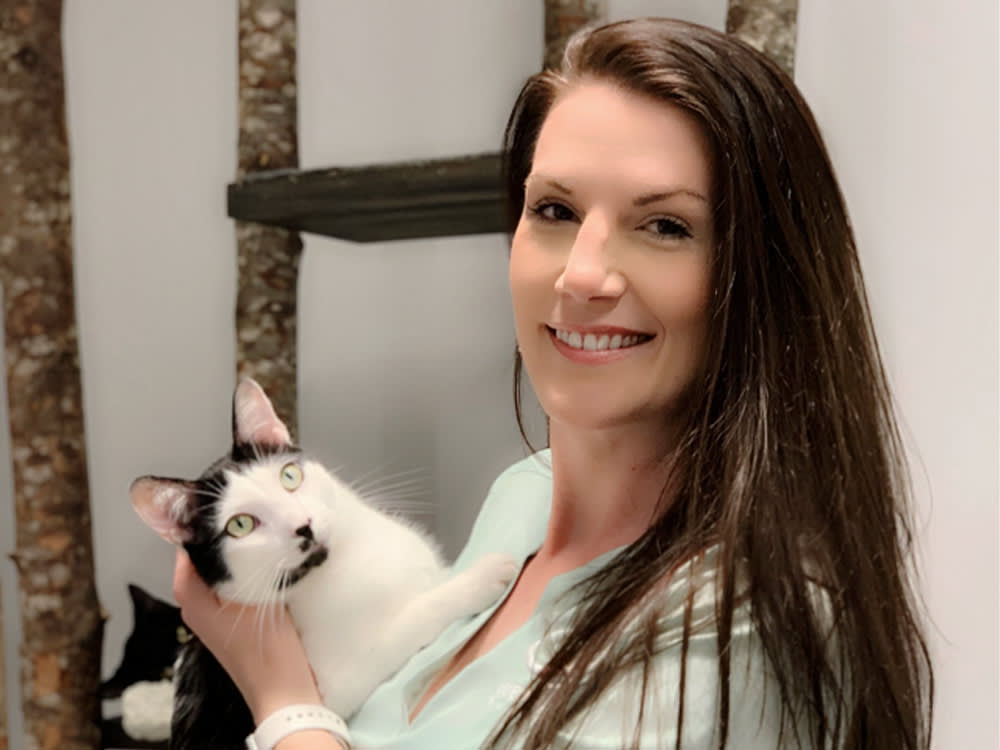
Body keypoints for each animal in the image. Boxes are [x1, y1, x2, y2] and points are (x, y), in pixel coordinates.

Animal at [132, 382, 516, 750]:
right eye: (240, 525)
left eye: (289, 476)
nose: (303, 525)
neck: (342, 562)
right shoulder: (337, 683)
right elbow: (417, 616)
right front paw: (481, 578)